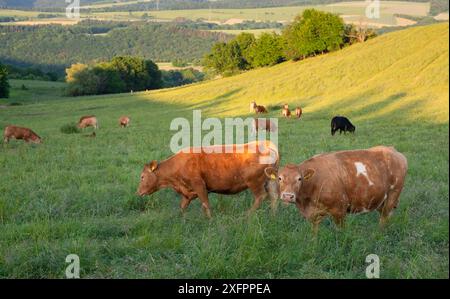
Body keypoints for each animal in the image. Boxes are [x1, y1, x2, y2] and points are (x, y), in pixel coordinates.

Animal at [137, 141, 280, 218]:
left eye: (142, 177)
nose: (137, 192)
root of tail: (266, 144)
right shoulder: (187, 192)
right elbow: (182, 206)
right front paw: (180, 219)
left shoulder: (199, 185)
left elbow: (206, 204)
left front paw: (210, 219)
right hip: (270, 180)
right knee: (273, 197)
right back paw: (272, 216)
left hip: (254, 182)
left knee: (261, 196)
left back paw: (248, 215)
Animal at [266, 146, 410, 232]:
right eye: (279, 178)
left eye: (299, 179)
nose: (287, 196)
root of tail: (392, 150)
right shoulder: (313, 215)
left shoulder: (339, 209)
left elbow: (341, 232)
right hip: (381, 199)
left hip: (393, 194)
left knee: (385, 216)